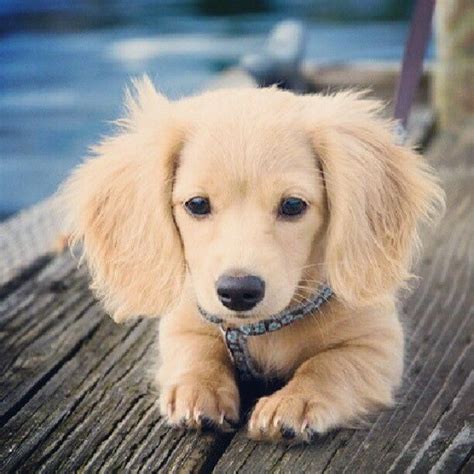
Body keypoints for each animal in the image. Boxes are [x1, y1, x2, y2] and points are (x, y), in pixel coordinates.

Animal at [60, 76, 444, 442]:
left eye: (293, 205)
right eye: (197, 204)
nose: (238, 292)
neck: (265, 328)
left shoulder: (377, 344)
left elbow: (330, 366)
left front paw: (295, 401)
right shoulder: (185, 319)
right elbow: (197, 351)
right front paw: (197, 389)